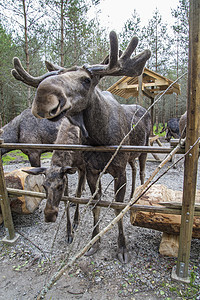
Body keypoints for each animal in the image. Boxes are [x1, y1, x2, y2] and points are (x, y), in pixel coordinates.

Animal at [12, 31, 150, 264]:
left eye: (86, 80)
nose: (43, 97)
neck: (100, 137)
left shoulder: (118, 170)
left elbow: (116, 208)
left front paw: (122, 247)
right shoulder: (92, 171)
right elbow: (94, 204)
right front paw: (94, 242)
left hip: (144, 151)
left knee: (140, 173)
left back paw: (136, 196)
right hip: (129, 157)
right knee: (133, 170)